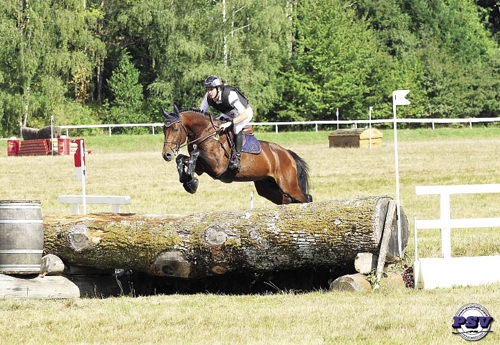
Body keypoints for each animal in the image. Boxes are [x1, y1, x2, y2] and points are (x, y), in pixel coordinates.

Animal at [161, 105, 312, 204]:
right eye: (163, 130)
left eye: (175, 129)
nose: (166, 155)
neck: (206, 133)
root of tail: (288, 154)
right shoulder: (202, 168)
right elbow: (181, 159)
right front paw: (187, 181)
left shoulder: (217, 166)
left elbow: (195, 153)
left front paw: (191, 182)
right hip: (267, 187)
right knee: (288, 200)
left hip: (288, 185)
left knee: (306, 198)